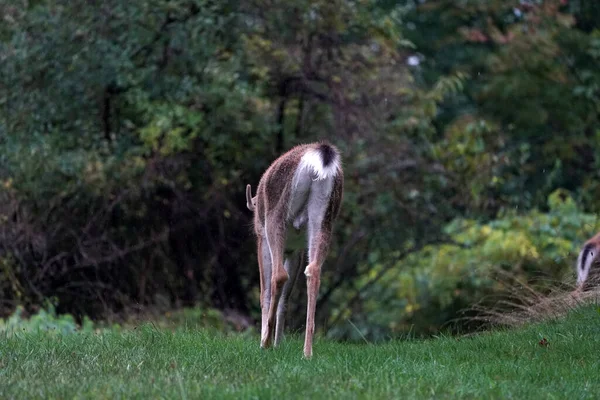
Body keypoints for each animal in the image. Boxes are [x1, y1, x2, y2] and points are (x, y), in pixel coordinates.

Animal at [246, 141, 344, 360]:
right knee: (314, 271)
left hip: (275, 217)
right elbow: (286, 299)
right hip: (324, 218)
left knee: (278, 276)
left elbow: (264, 292)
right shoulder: (295, 249)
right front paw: (279, 343)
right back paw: (306, 352)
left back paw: (266, 342)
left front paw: (267, 341)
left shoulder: (261, 238)